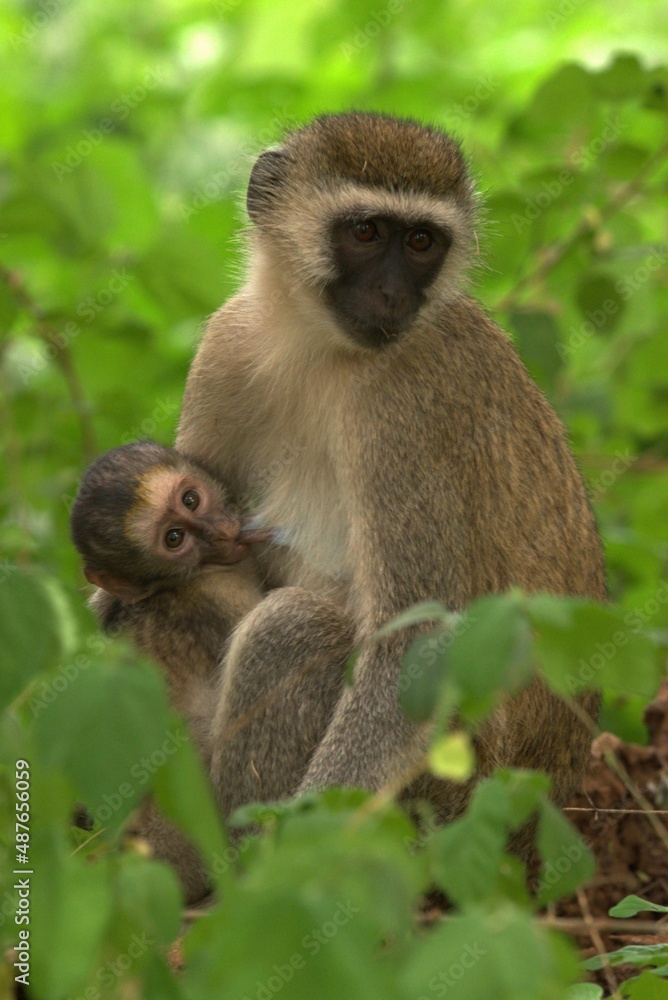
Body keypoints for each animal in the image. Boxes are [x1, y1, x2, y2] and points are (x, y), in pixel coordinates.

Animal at [176, 112, 607, 835]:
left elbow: (414, 645)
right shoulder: (226, 345)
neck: (315, 347)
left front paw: (298, 852)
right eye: (366, 232)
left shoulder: (404, 408)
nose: (393, 293)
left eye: (423, 241)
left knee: (288, 628)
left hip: (448, 789)